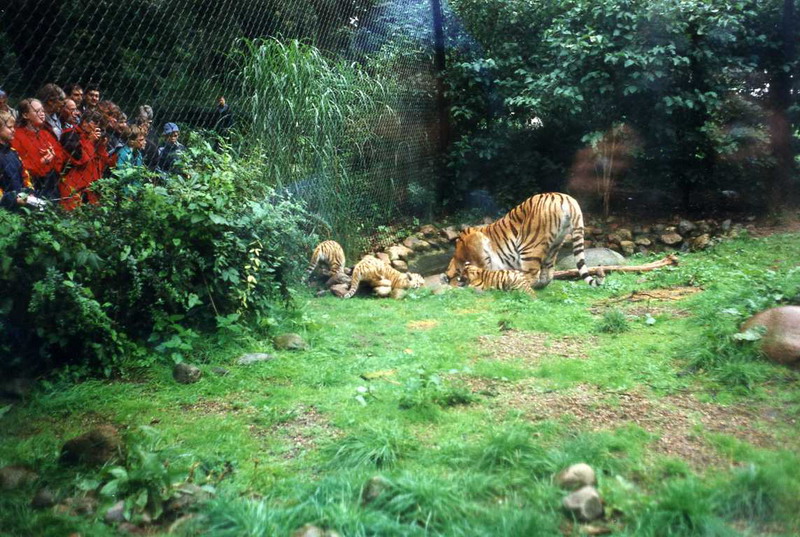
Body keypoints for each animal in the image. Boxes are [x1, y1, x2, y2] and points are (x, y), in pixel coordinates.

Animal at [445, 192, 601, 289]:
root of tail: (565, 198)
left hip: (529, 246)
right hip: (555, 243)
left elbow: (484, 271)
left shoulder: (479, 251)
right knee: (548, 273)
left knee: (531, 275)